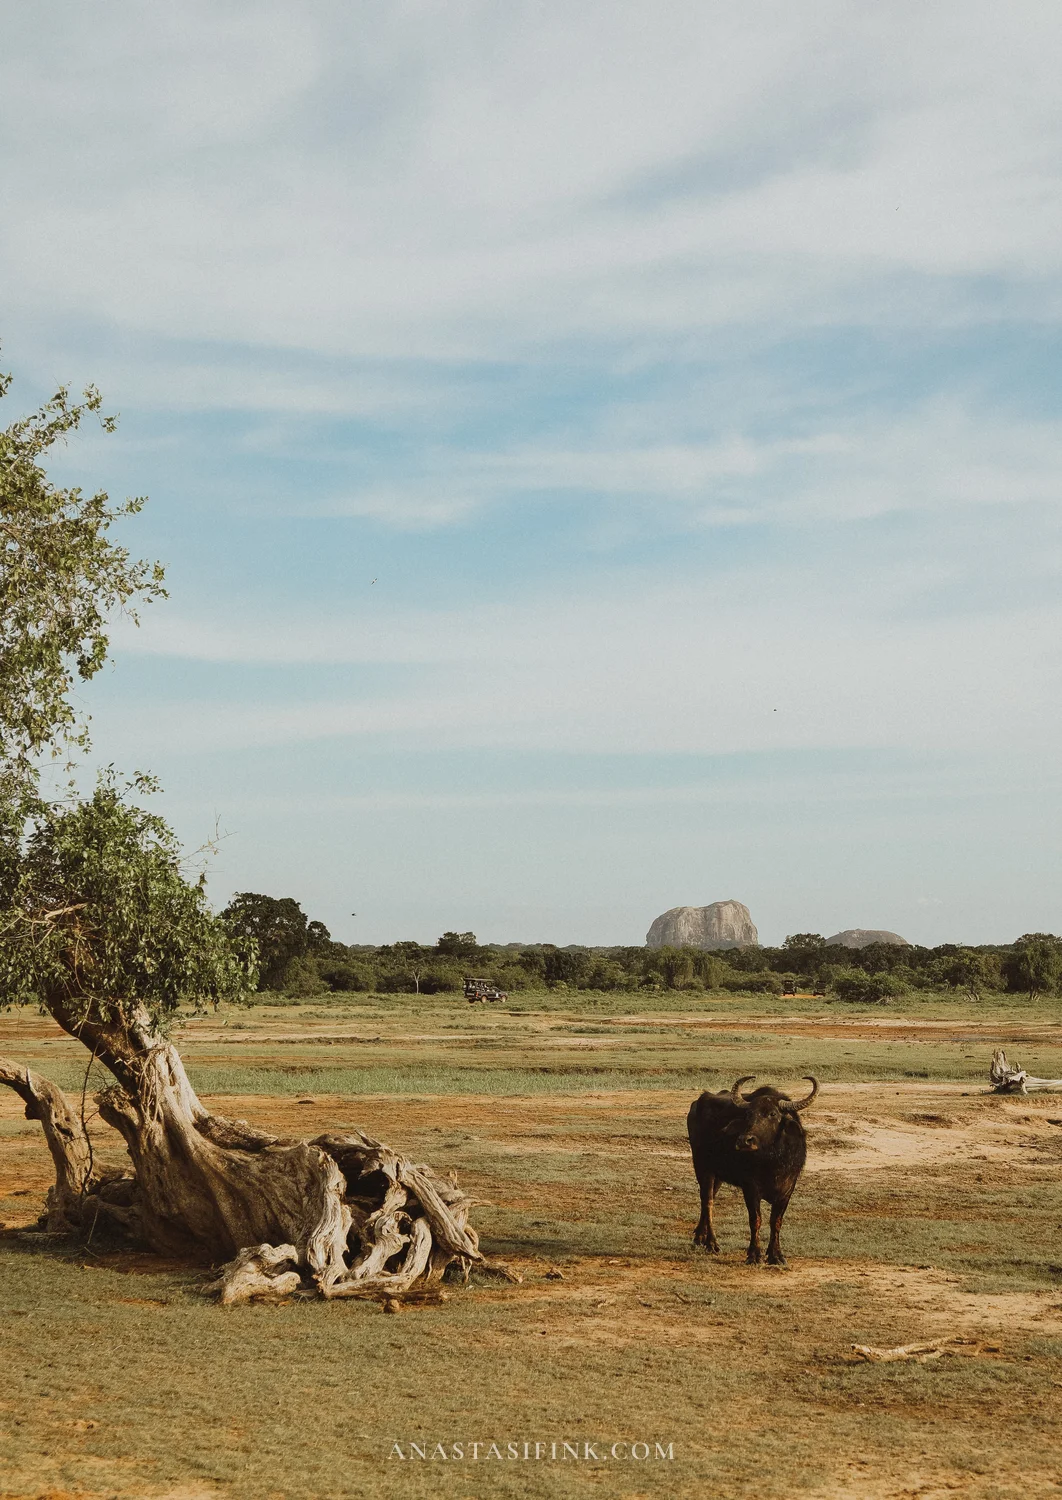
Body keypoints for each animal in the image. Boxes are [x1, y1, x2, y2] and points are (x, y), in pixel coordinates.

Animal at [686, 1074, 818, 1265]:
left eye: (772, 1114)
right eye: (749, 1114)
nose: (744, 1141)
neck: (772, 1162)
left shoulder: (788, 1189)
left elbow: (776, 1221)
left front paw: (776, 1255)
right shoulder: (750, 1188)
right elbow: (756, 1219)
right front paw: (754, 1254)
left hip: (718, 1174)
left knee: (709, 1199)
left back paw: (699, 1238)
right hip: (703, 1166)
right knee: (707, 1201)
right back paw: (711, 1243)